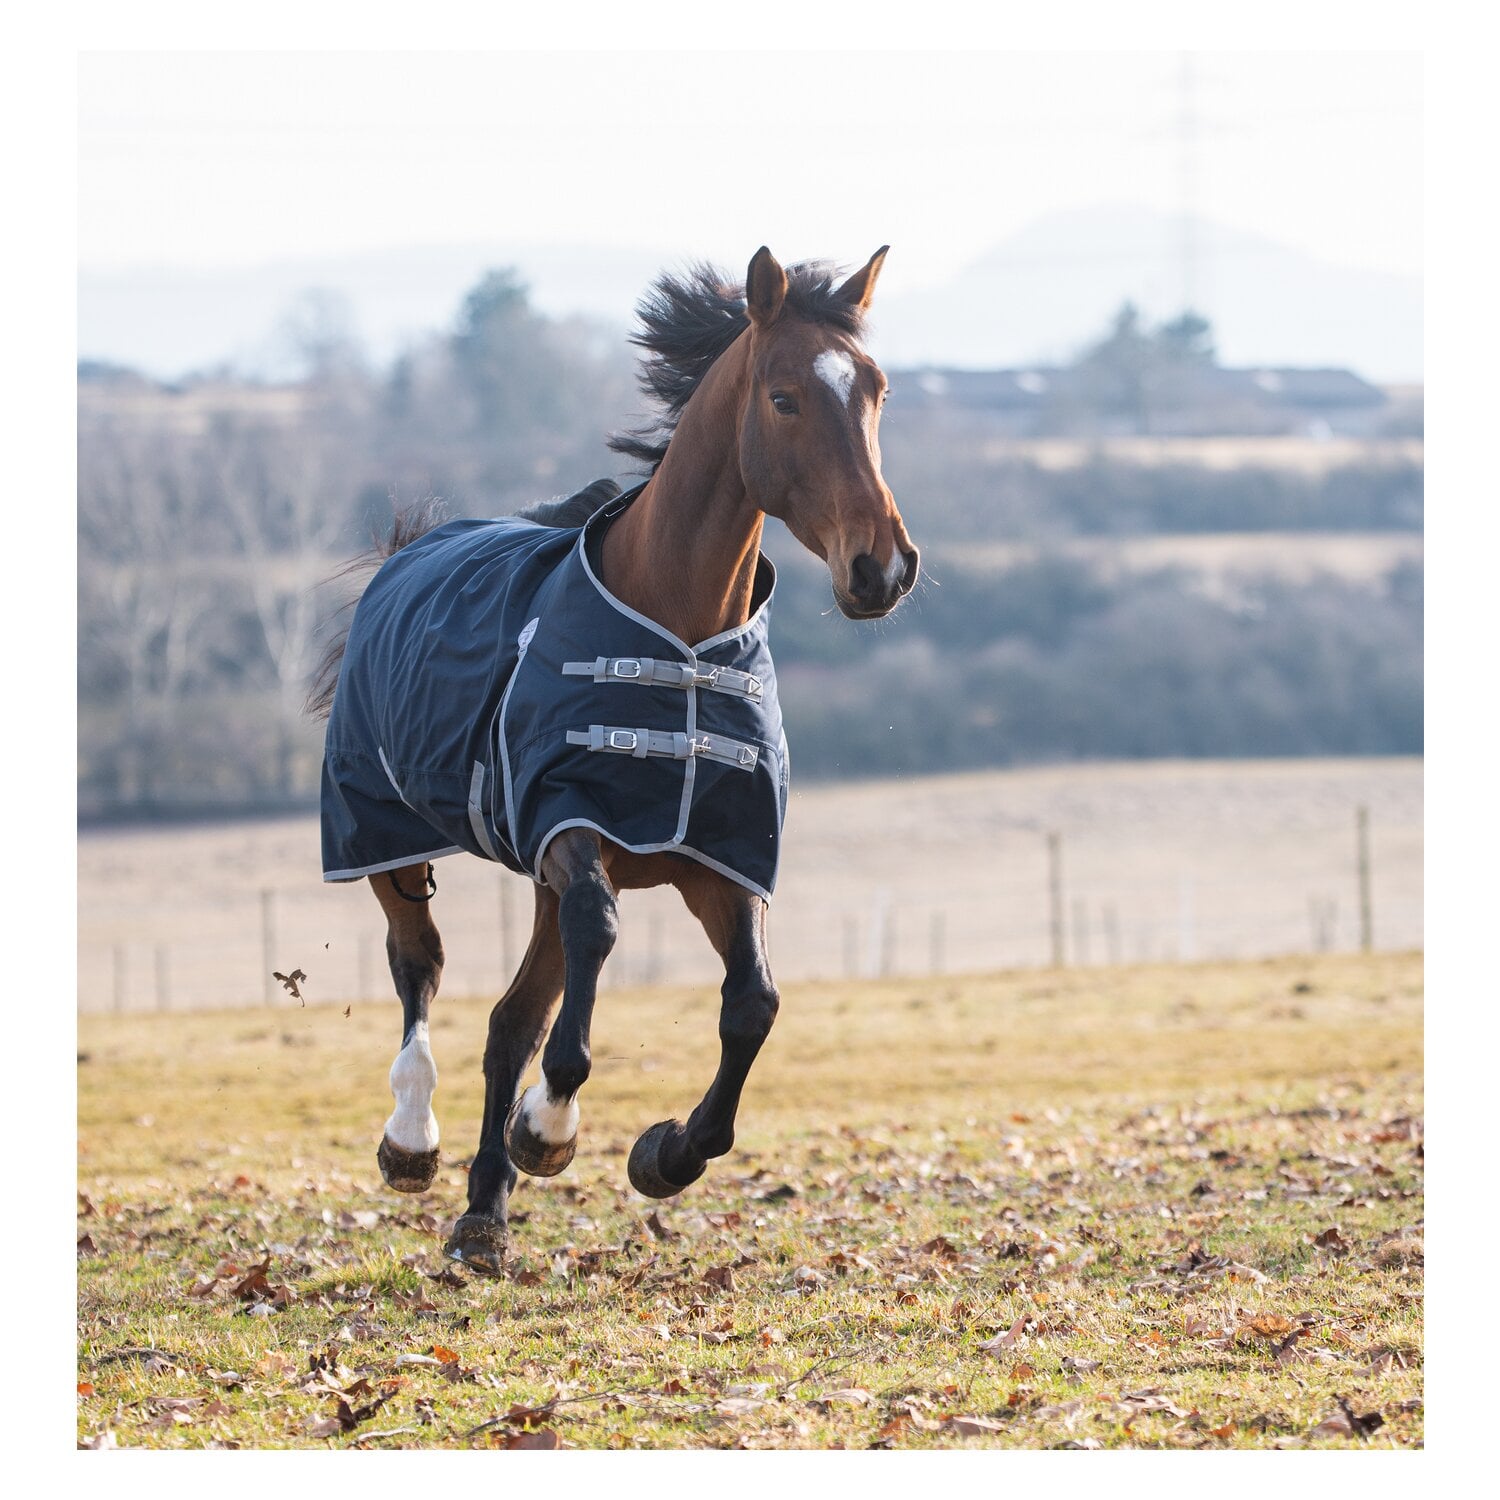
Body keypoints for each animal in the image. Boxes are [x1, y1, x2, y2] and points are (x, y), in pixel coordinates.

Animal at [310, 247, 919, 1274]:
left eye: (875, 390)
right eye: (786, 397)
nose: (883, 567)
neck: (675, 627)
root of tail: (411, 545)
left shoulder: (719, 856)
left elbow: (752, 1004)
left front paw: (667, 1153)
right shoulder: (570, 825)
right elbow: (594, 945)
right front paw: (547, 1127)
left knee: (510, 1017)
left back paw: (484, 1213)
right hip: (382, 832)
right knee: (420, 964)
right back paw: (415, 1140)